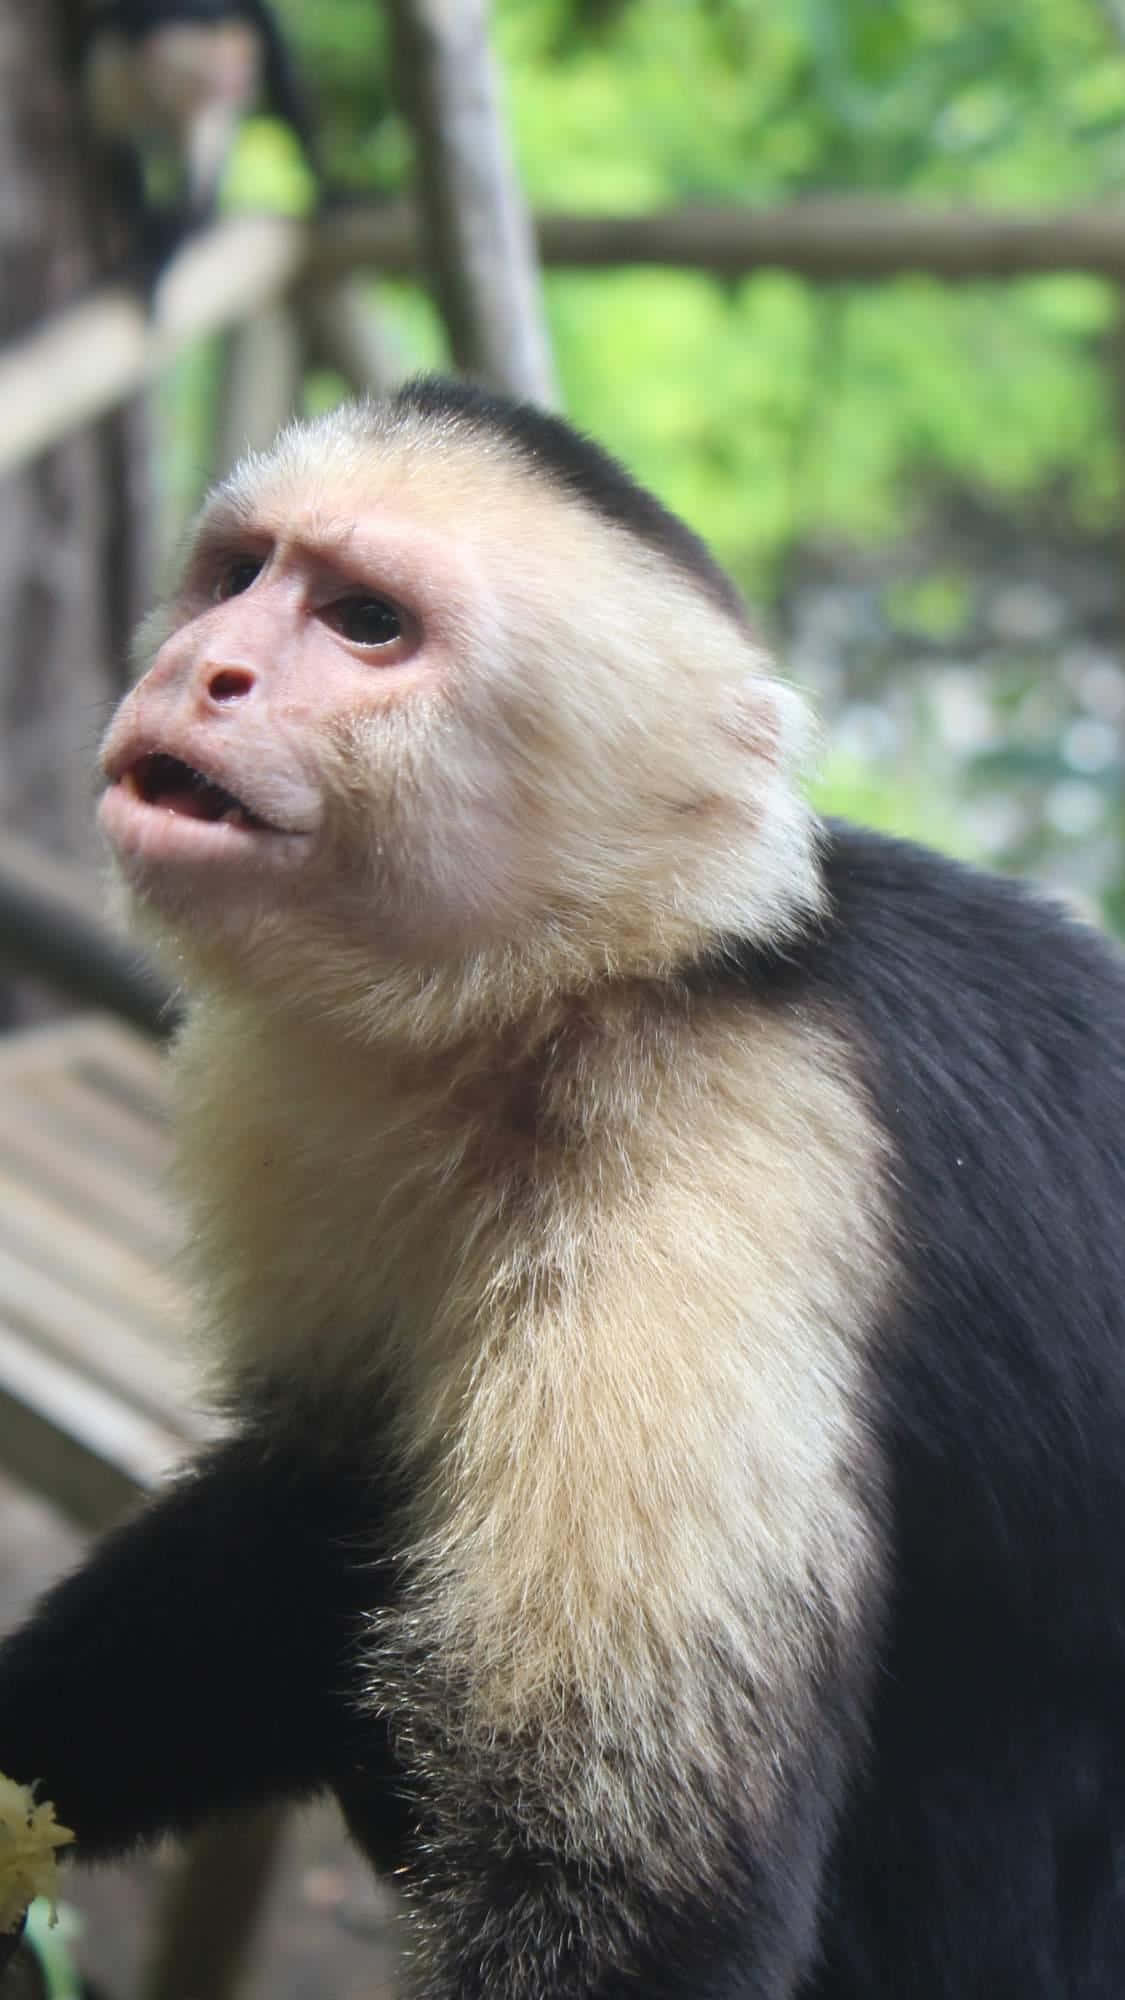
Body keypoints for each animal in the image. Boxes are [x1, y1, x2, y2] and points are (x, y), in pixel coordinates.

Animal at [0, 377, 1123, 1999]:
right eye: (238, 577)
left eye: (365, 624)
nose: (200, 669)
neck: (568, 1006)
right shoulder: (303, 1094)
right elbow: (306, 1508)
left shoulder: (731, 1158)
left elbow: (628, 1889)